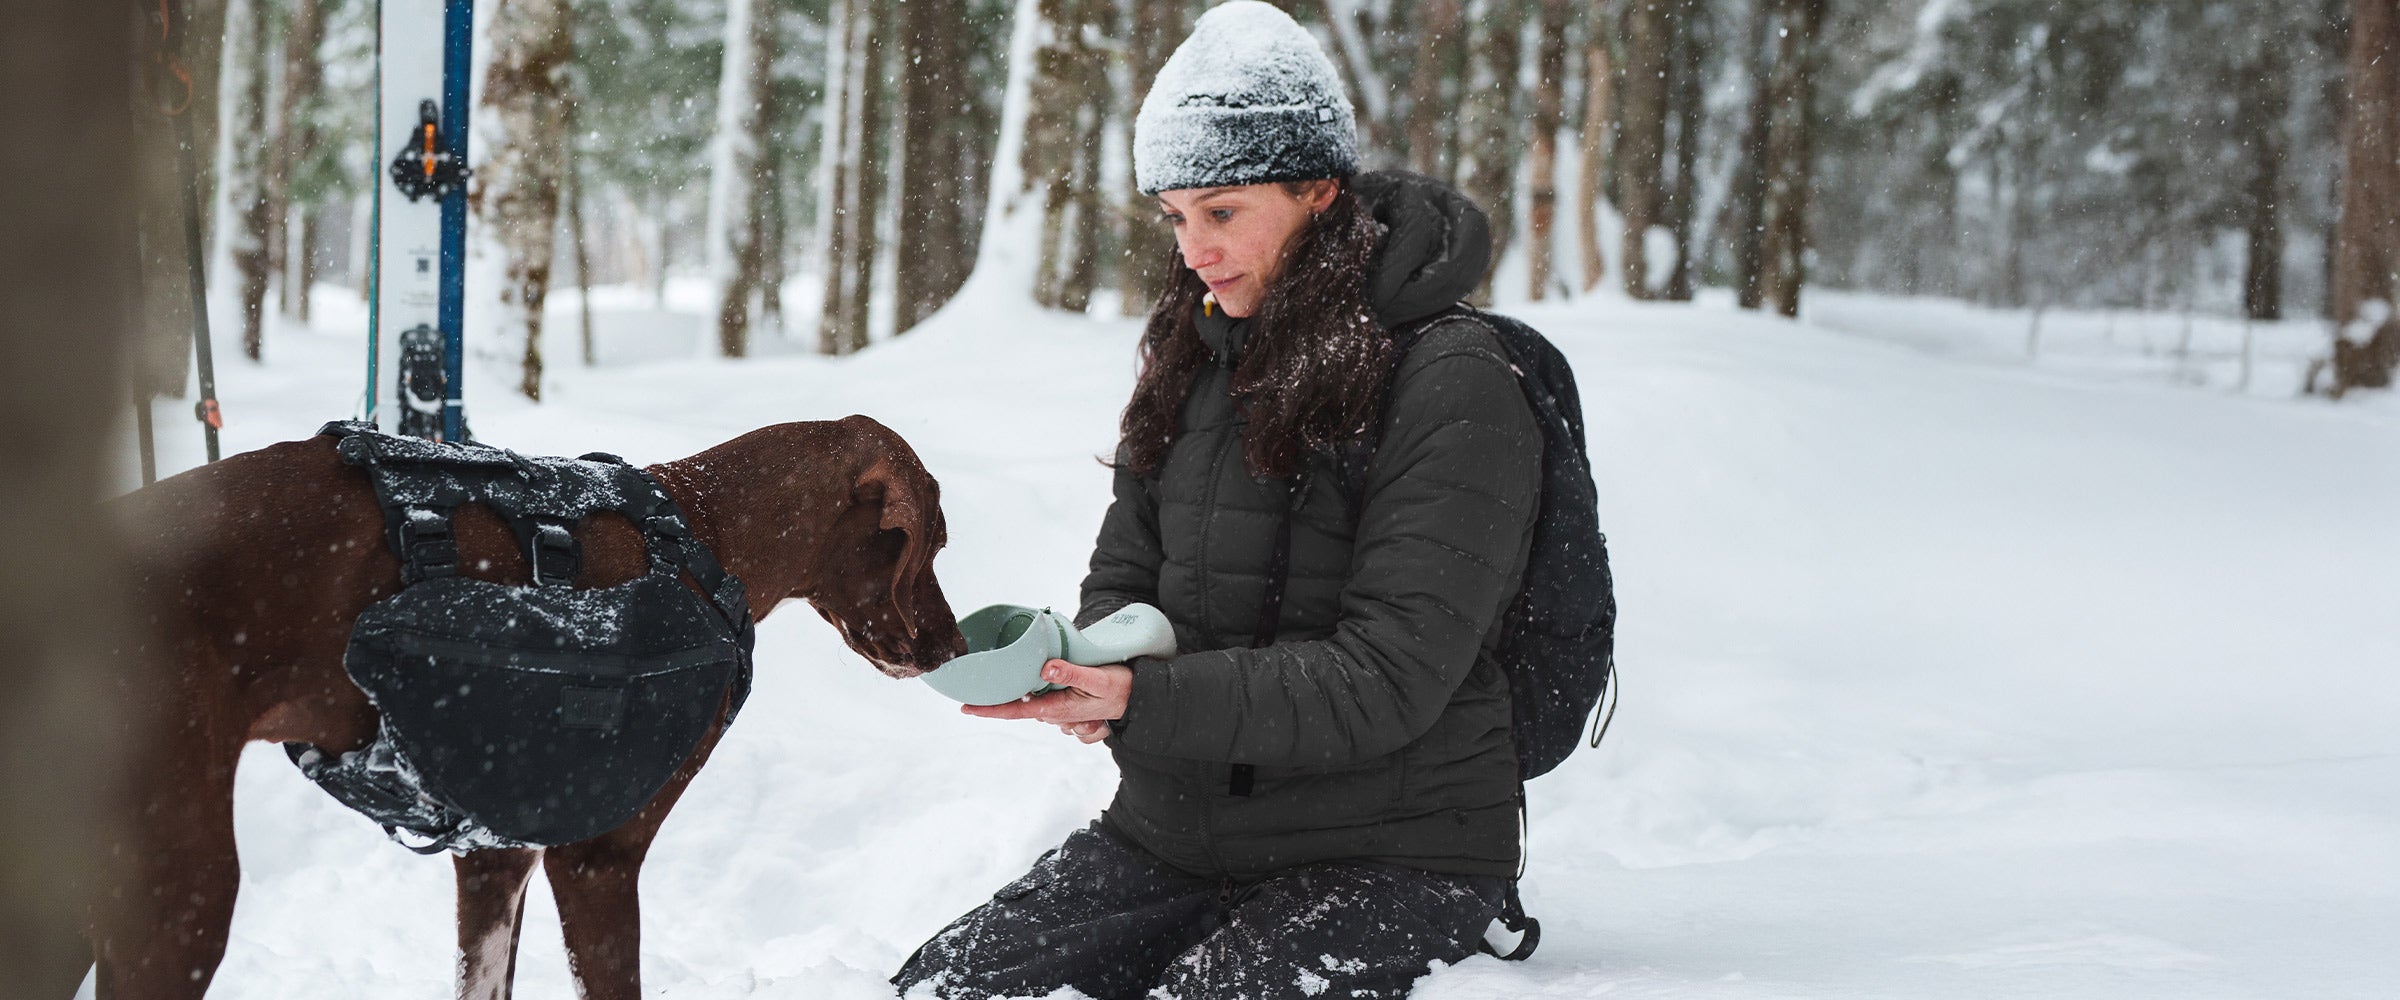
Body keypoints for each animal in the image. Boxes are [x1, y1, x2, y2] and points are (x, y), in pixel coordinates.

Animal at [87, 414, 964, 997]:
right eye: (931, 543)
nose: (953, 647)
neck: (704, 531)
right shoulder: (597, 862)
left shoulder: (494, 857)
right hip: (180, 892)